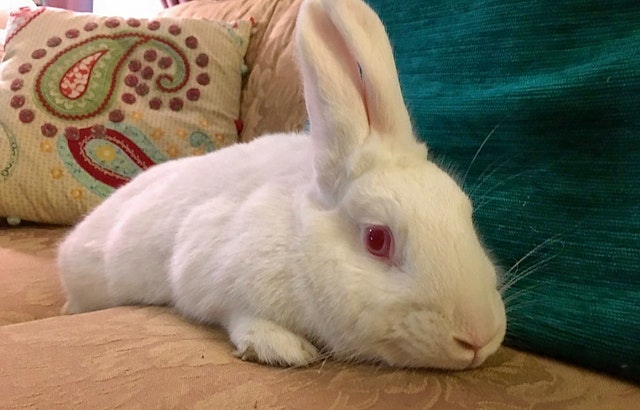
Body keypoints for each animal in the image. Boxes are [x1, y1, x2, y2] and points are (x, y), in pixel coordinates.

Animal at [58, 0, 506, 370]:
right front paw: (282, 347)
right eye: (377, 239)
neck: (299, 239)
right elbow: (235, 313)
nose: (478, 337)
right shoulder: (208, 267)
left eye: (466, 214)